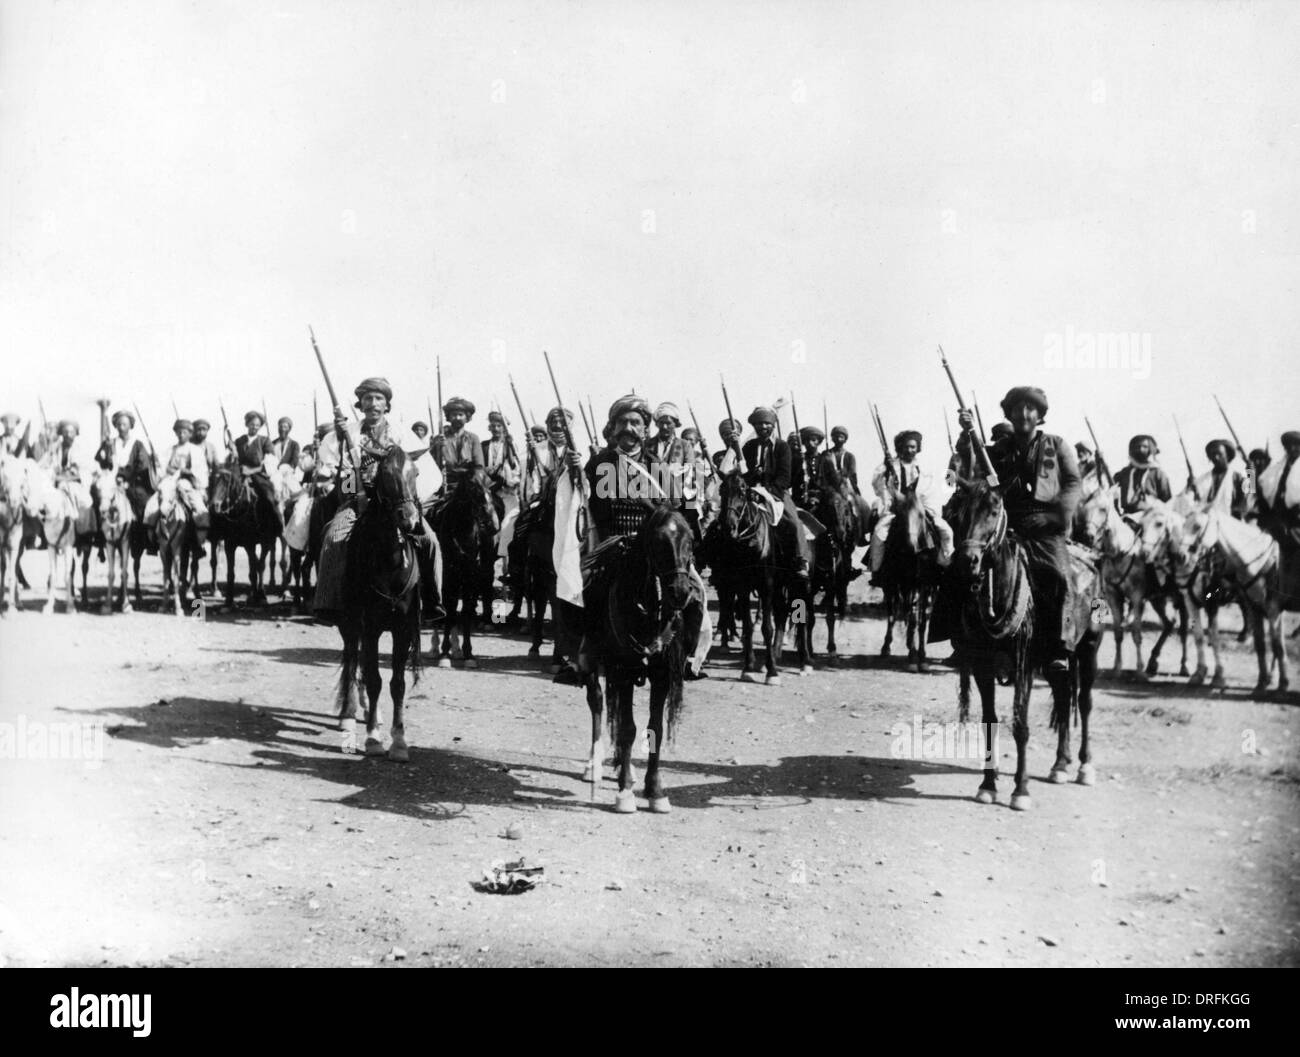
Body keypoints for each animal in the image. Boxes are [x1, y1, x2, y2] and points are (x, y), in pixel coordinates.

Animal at [208, 468, 279, 605]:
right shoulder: (229, 545)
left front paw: (256, 598)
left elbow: (253, 572)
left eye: (226, 483)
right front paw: (229, 600)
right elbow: (231, 573)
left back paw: (261, 595)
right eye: (212, 481)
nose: (214, 506)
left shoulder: (250, 544)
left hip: (267, 541)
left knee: (261, 565)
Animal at [332, 444, 423, 759]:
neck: (390, 562)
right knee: (352, 659)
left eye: (415, 473)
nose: (409, 519)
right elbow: (374, 679)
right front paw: (372, 738)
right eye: (385, 474)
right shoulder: (369, 626)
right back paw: (349, 714)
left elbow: (397, 684)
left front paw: (399, 741)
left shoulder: (403, 628)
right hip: (349, 623)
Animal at [579, 507, 702, 811]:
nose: (680, 591)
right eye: (658, 542)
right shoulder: (623, 670)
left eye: (691, 539)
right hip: (592, 662)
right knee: (597, 703)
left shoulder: (662, 674)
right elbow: (627, 729)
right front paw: (624, 792)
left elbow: (653, 727)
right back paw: (594, 765)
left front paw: (655, 790)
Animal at [878, 483, 941, 665]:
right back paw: (889, 646)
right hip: (894, 586)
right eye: (900, 516)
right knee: (895, 612)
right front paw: (912, 654)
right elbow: (906, 617)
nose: (910, 547)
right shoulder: (901, 584)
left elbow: (922, 620)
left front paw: (921, 654)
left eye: (921, 515)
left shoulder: (926, 584)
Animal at [946, 478, 1097, 806]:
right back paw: (1060, 764)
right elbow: (990, 721)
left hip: (1090, 648)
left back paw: (1084, 766)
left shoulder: (1024, 664)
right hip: (1054, 662)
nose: (968, 561)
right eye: (955, 513)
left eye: (993, 511)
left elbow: (1021, 726)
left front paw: (1021, 789)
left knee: (1084, 702)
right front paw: (988, 785)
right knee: (1064, 697)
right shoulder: (983, 665)